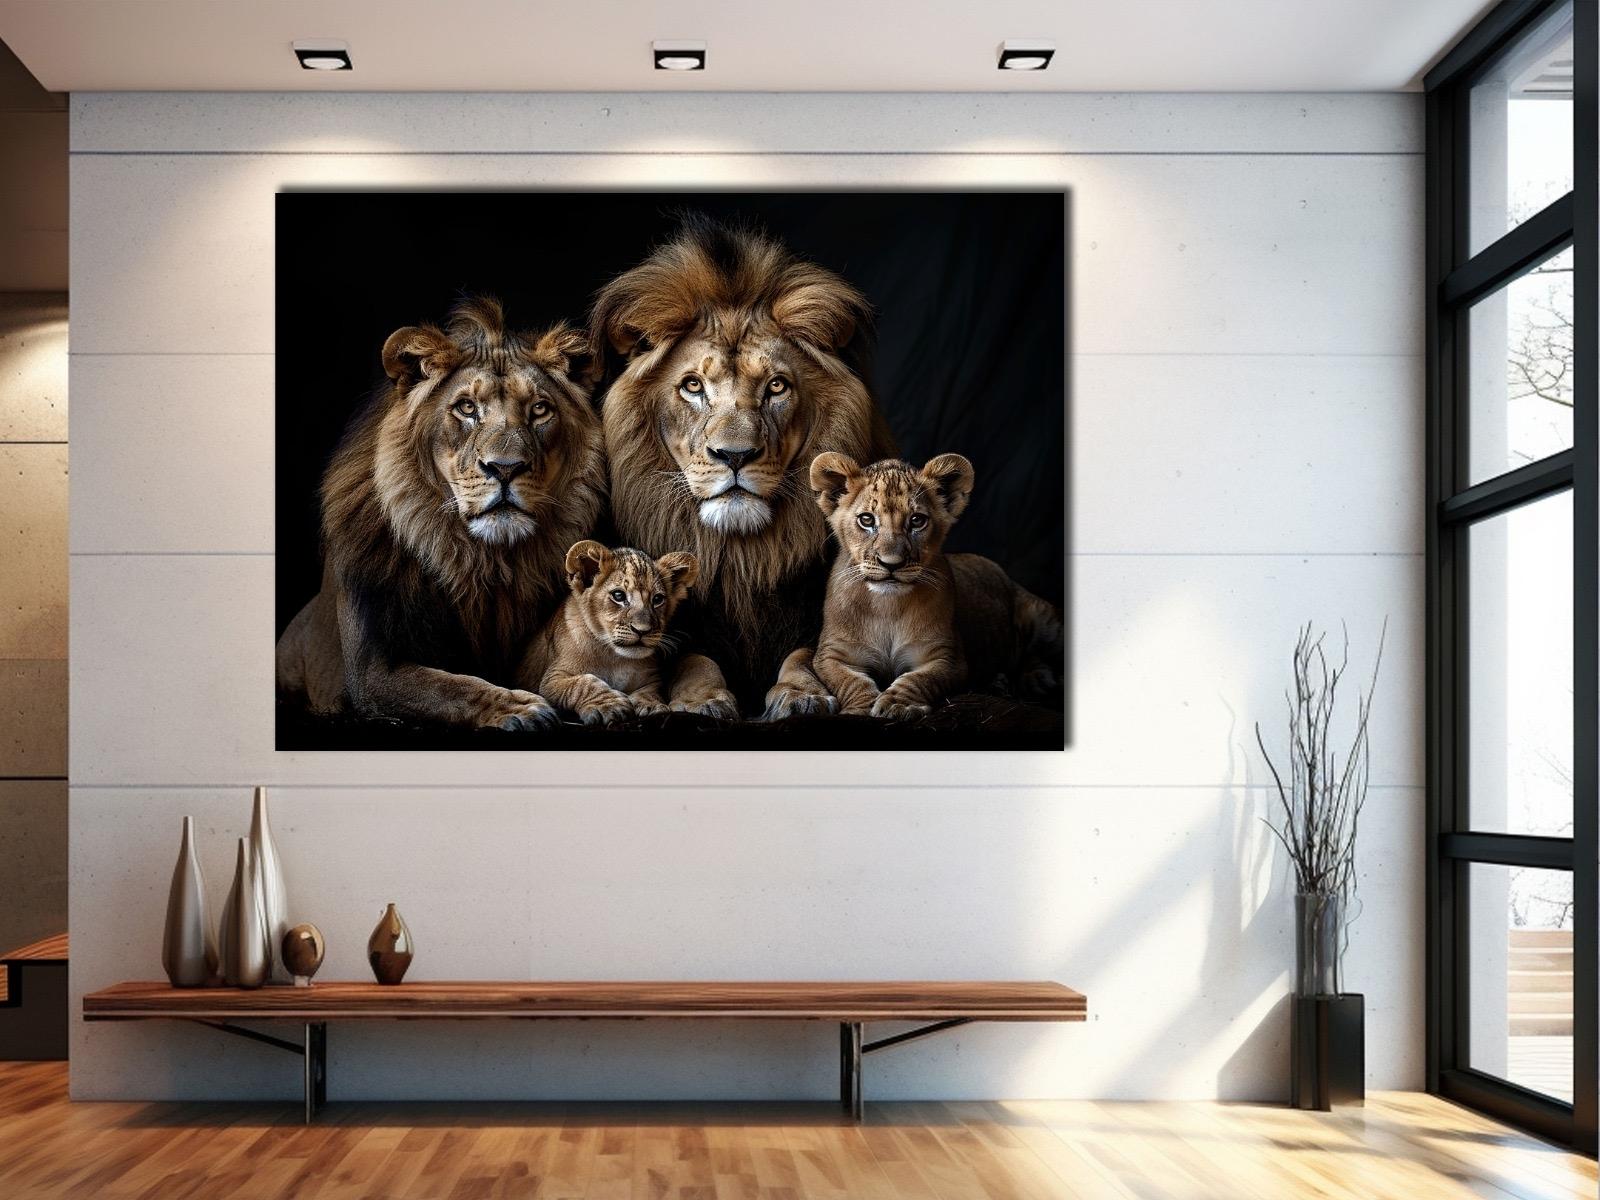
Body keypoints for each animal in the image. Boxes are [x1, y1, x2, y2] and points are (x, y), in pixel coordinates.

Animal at [275, 297, 606, 731]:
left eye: (539, 409)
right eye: (466, 408)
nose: (505, 468)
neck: (486, 562)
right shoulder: (371, 673)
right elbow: (450, 686)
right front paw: (514, 707)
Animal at [516, 540, 700, 727]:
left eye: (657, 599)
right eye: (618, 595)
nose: (642, 630)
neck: (615, 658)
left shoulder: (650, 679)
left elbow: (650, 691)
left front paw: (651, 705)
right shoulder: (552, 679)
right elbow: (582, 684)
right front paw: (610, 705)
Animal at [590, 216, 896, 717]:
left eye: (776, 386)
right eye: (693, 386)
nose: (734, 456)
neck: (741, 559)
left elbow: (804, 655)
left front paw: (801, 694)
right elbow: (694, 659)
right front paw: (703, 700)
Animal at [810, 451, 1064, 713]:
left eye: (917, 521)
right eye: (867, 520)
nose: (891, 563)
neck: (886, 607)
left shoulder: (946, 657)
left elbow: (920, 680)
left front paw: (898, 705)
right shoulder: (831, 654)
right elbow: (849, 681)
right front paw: (862, 707)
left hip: (1046, 620)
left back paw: (1038, 679)